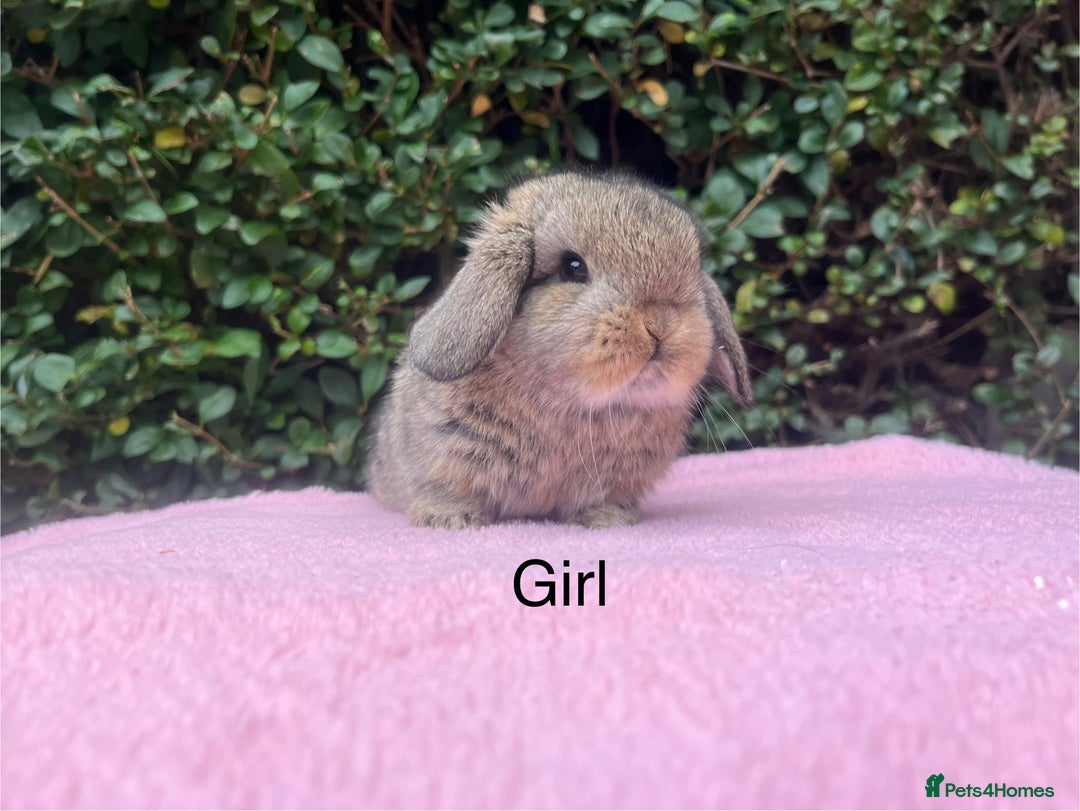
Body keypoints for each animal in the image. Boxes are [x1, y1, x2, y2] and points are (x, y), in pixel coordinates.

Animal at [366, 170, 752, 529]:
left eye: (695, 268)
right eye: (572, 267)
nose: (661, 324)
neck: (570, 405)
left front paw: (610, 520)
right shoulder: (445, 454)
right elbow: (447, 490)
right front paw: (451, 520)